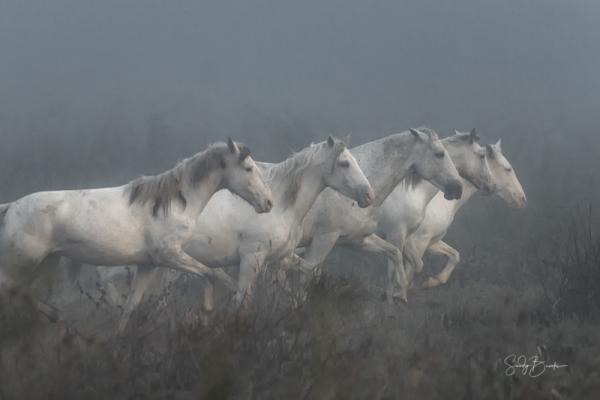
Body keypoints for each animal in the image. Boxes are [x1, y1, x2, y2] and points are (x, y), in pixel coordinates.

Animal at [0, 139, 272, 320]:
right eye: (248, 168)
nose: (268, 202)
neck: (171, 204)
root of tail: (11, 206)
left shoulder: (148, 264)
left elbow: (132, 305)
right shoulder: (170, 255)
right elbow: (212, 274)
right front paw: (208, 308)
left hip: (48, 262)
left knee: (32, 296)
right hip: (20, 263)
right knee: (14, 292)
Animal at [120, 137, 376, 324]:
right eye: (344, 163)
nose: (368, 195)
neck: (281, 205)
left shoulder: (280, 258)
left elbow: (302, 280)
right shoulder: (251, 259)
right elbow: (242, 301)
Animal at [296, 126, 464, 302]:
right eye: (439, 153)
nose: (458, 188)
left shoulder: (358, 239)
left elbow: (396, 255)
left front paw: (399, 292)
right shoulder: (323, 240)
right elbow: (306, 276)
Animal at [378, 130, 494, 288]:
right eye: (482, 155)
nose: (491, 185)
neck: (415, 193)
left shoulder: (409, 240)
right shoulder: (400, 237)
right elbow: (401, 275)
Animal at [404, 139, 524, 290]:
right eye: (508, 169)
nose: (522, 199)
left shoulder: (431, 241)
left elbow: (455, 255)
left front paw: (434, 280)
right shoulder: (418, 241)